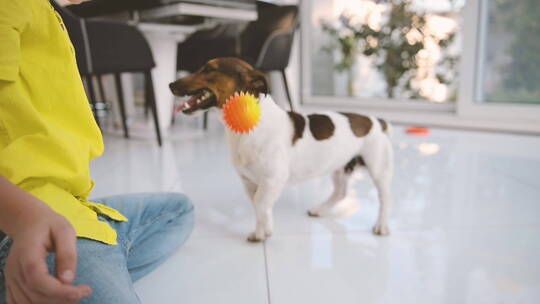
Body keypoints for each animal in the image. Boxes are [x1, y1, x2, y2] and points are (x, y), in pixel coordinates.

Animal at [171, 57, 394, 242]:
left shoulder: (273, 179)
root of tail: (377, 121)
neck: (247, 127)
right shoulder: (249, 182)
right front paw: (262, 230)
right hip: (340, 167)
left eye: (209, 69)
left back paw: (382, 225)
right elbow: (258, 205)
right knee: (340, 193)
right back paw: (320, 210)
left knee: (385, 199)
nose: (170, 85)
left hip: (378, 168)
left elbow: (261, 204)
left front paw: (264, 232)